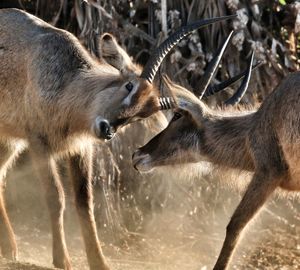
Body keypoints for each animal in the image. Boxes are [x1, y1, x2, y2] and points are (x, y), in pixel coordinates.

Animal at [0, 6, 237, 270]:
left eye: (141, 114)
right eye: (129, 86)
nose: (107, 129)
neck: (68, 87)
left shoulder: (82, 149)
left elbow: (85, 202)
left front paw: (99, 261)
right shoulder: (38, 143)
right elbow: (56, 197)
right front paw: (62, 259)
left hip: (11, 141)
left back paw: (9, 247)